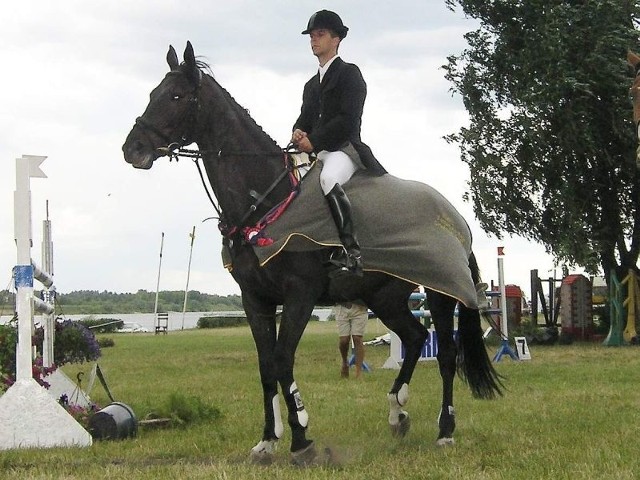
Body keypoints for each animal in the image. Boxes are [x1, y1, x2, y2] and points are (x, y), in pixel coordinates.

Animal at [122, 42, 502, 464]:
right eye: (153, 93)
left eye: (175, 96)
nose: (131, 149)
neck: (266, 198)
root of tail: (455, 217)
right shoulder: (255, 299)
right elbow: (265, 366)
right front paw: (267, 441)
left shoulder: (300, 295)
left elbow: (282, 358)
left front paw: (301, 437)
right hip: (384, 295)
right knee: (416, 337)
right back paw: (397, 411)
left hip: (439, 290)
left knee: (447, 352)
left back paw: (444, 430)